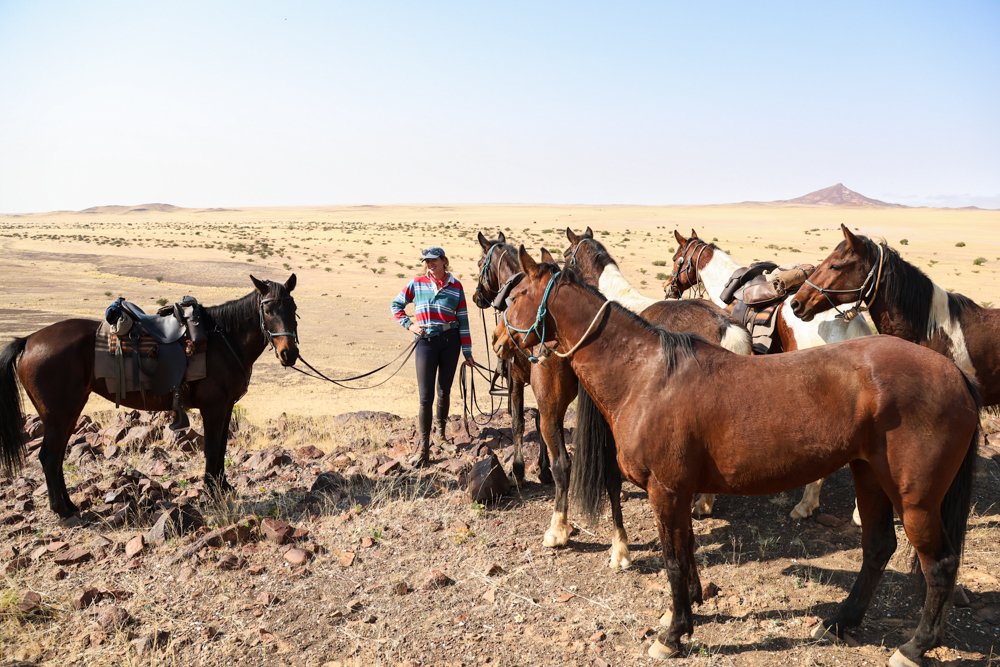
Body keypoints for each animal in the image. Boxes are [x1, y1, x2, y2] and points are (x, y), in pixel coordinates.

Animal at [0, 275, 300, 518]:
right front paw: (213, 491)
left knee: (56, 456)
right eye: (268, 309)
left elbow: (222, 447)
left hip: (65, 414)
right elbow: (212, 448)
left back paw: (69, 505)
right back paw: (62, 510)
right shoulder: (213, 407)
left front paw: (223, 486)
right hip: (60, 414)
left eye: (293, 309)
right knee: (50, 457)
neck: (223, 341)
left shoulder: (225, 408)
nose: (289, 354)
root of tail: (28, 341)